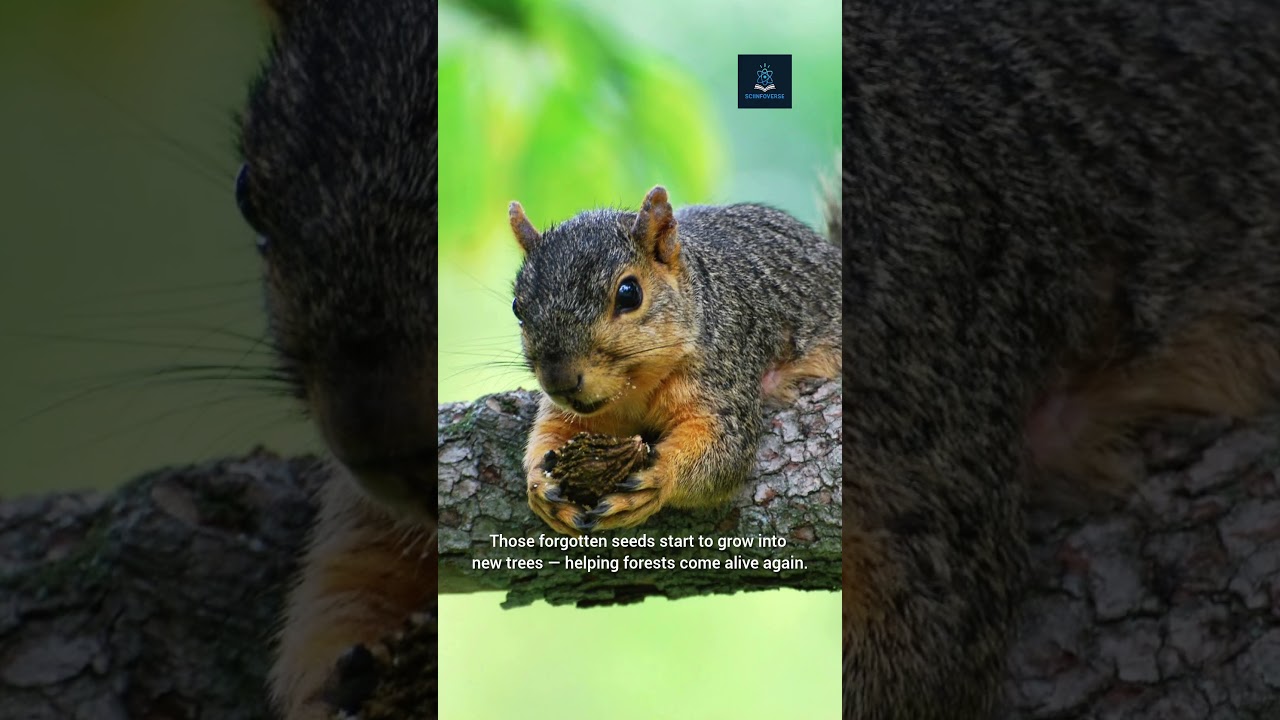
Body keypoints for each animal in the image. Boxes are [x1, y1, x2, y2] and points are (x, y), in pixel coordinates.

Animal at [509, 186, 840, 535]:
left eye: (629, 293)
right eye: (517, 307)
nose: (558, 382)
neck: (633, 390)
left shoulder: (725, 376)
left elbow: (724, 449)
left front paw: (658, 476)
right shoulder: (570, 414)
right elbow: (549, 433)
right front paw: (539, 484)